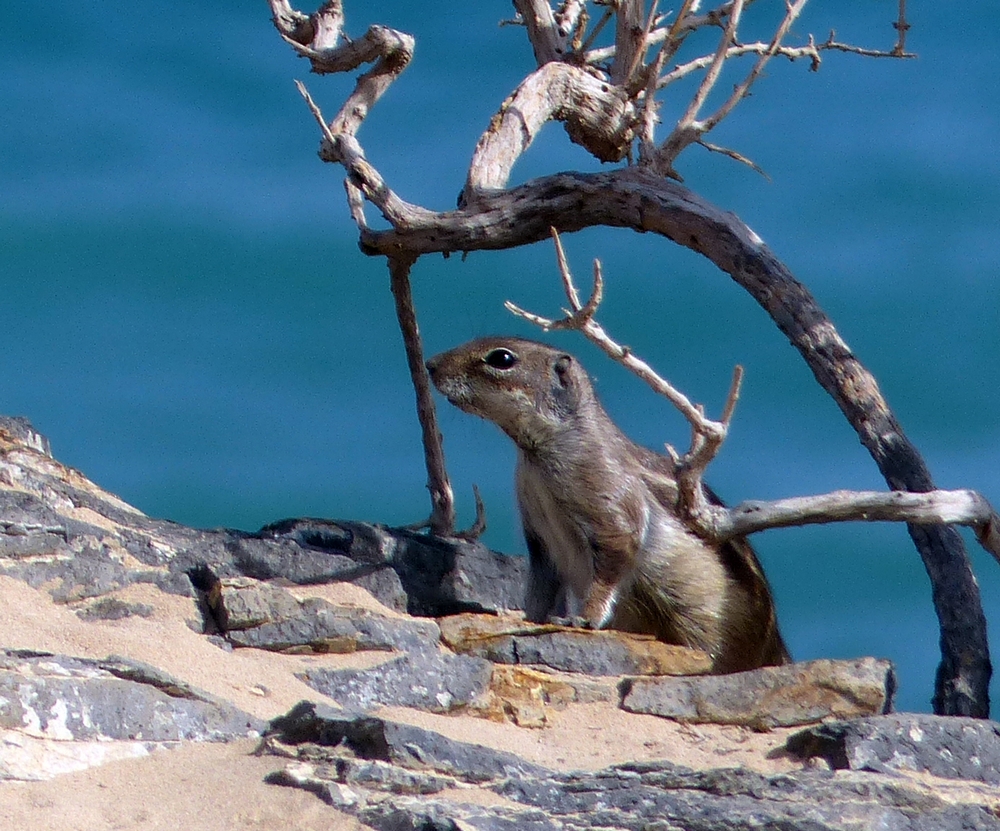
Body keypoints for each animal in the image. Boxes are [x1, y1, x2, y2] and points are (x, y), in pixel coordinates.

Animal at [426, 334, 792, 672]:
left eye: (501, 358)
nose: (430, 365)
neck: (537, 457)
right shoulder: (539, 538)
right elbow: (540, 588)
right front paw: (529, 617)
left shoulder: (609, 503)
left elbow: (610, 565)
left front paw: (583, 619)